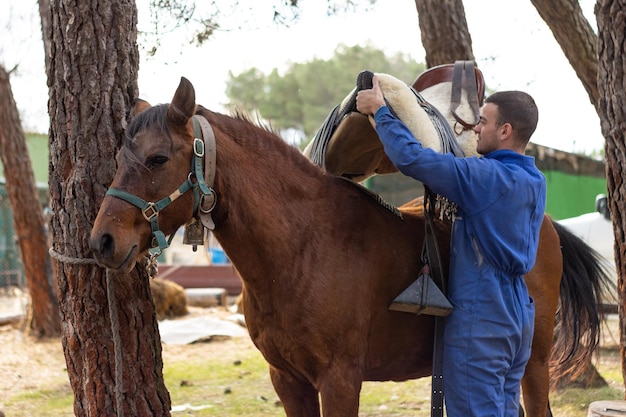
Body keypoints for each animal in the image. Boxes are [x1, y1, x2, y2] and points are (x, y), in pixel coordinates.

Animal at [89, 77, 608, 412]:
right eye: (117, 158)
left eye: (158, 158)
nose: (102, 240)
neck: (302, 248)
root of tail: (548, 226)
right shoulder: (289, 381)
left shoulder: (340, 380)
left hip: (533, 364)